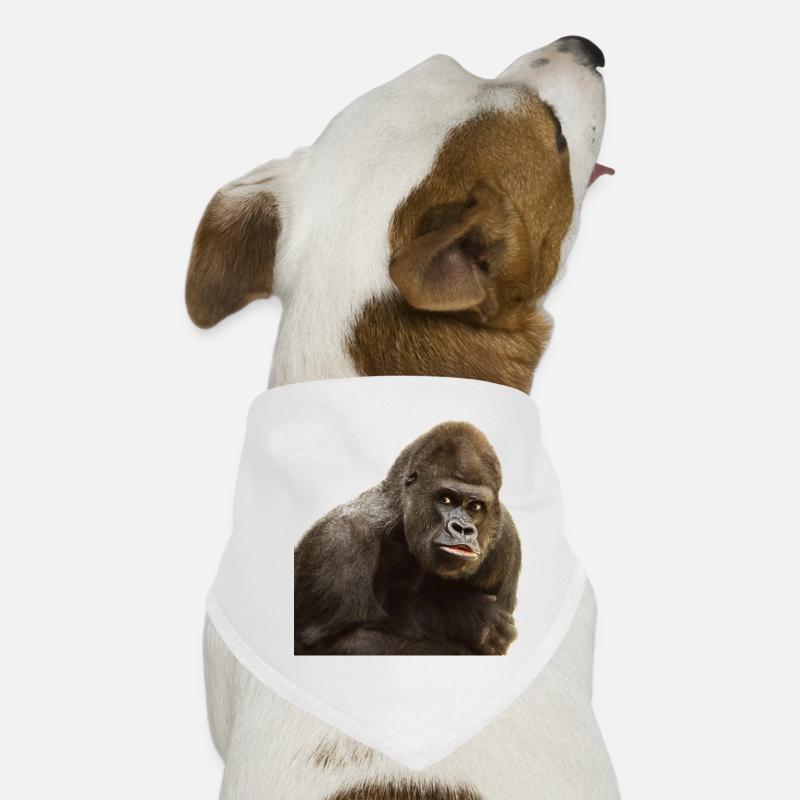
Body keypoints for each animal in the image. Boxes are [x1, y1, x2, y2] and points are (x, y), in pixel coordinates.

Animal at [294, 421, 521, 655]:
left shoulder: (507, 540)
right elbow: (338, 641)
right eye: (446, 499)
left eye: (476, 507)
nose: (463, 529)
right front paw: (464, 615)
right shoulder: (340, 540)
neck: (399, 521)